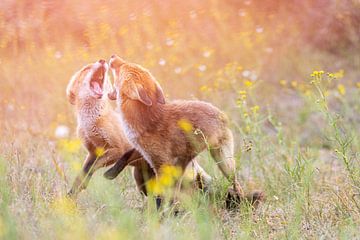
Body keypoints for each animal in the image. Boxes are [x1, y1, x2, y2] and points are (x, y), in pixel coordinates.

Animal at [66, 59, 211, 199]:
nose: (102, 60)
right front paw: (72, 194)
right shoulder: (93, 152)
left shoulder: (116, 149)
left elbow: (92, 167)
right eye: (86, 69)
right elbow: (82, 173)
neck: (92, 121)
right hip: (140, 181)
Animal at [107, 55, 264, 207]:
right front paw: (111, 172)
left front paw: (160, 211)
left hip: (223, 162)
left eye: (122, 67)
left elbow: (161, 193)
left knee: (235, 184)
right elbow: (126, 155)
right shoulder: (146, 154)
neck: (145, 119)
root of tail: (221, 113)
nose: (113, 56)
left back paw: (240, 202)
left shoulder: (161, 164)